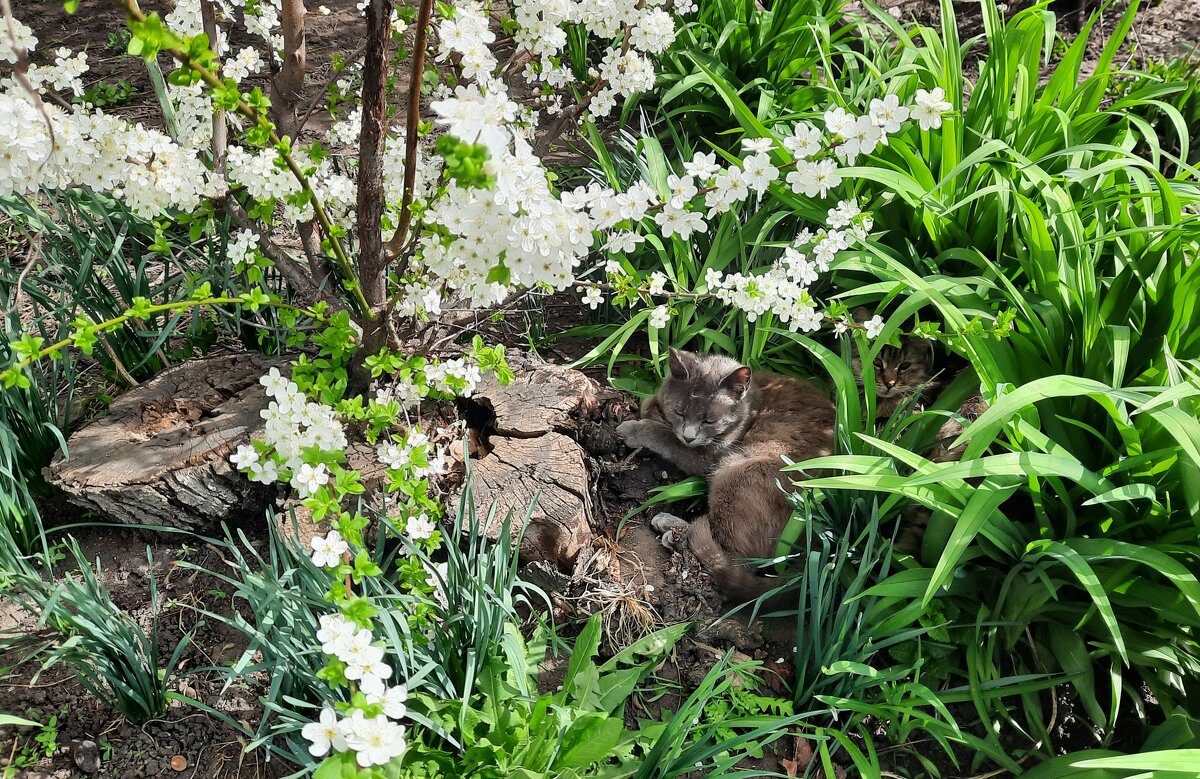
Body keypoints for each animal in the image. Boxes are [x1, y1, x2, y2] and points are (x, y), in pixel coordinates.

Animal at [619, 350, 835, 604]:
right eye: (679, 412)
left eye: (710, 420)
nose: (689, 436)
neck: (752, 403)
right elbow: (651, 405)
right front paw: (652, 408)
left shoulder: (709, 455)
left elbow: (667, 438)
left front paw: (633, 429)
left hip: (736, 471)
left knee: (735, 559)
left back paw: (670, 527)